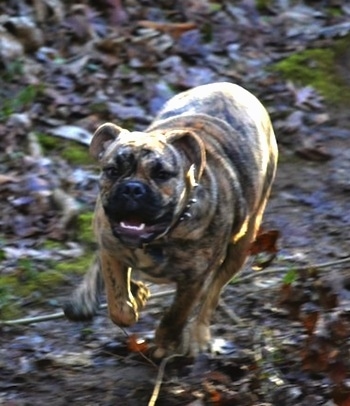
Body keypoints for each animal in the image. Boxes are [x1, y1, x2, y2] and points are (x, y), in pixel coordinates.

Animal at [62, 82, 276, 358]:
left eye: (162, 175)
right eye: (112, 170)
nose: (132, 188)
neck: (158, 239)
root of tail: (232, 87)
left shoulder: (193, 280)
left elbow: (176, 314)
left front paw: (164, 343)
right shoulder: (111, 248)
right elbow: (118, 303)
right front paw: (133, 297)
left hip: (242, 243)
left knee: (213, 295)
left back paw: (199, 335)